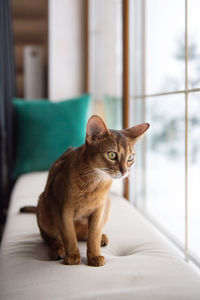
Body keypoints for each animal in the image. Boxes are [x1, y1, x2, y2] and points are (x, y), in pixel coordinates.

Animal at [21, 115, 149, 268]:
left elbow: (93, 234)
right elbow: (69, 234)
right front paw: (72, 256)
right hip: (43, 203)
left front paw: (94, 256)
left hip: (108, 204)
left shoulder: (99, 208)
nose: (124, 172)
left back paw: (101, 238)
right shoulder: (62, 208)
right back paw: (58, 249)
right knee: (50, 237)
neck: (95, 182)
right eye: (112, 155)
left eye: (130, 158)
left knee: (85, 234)